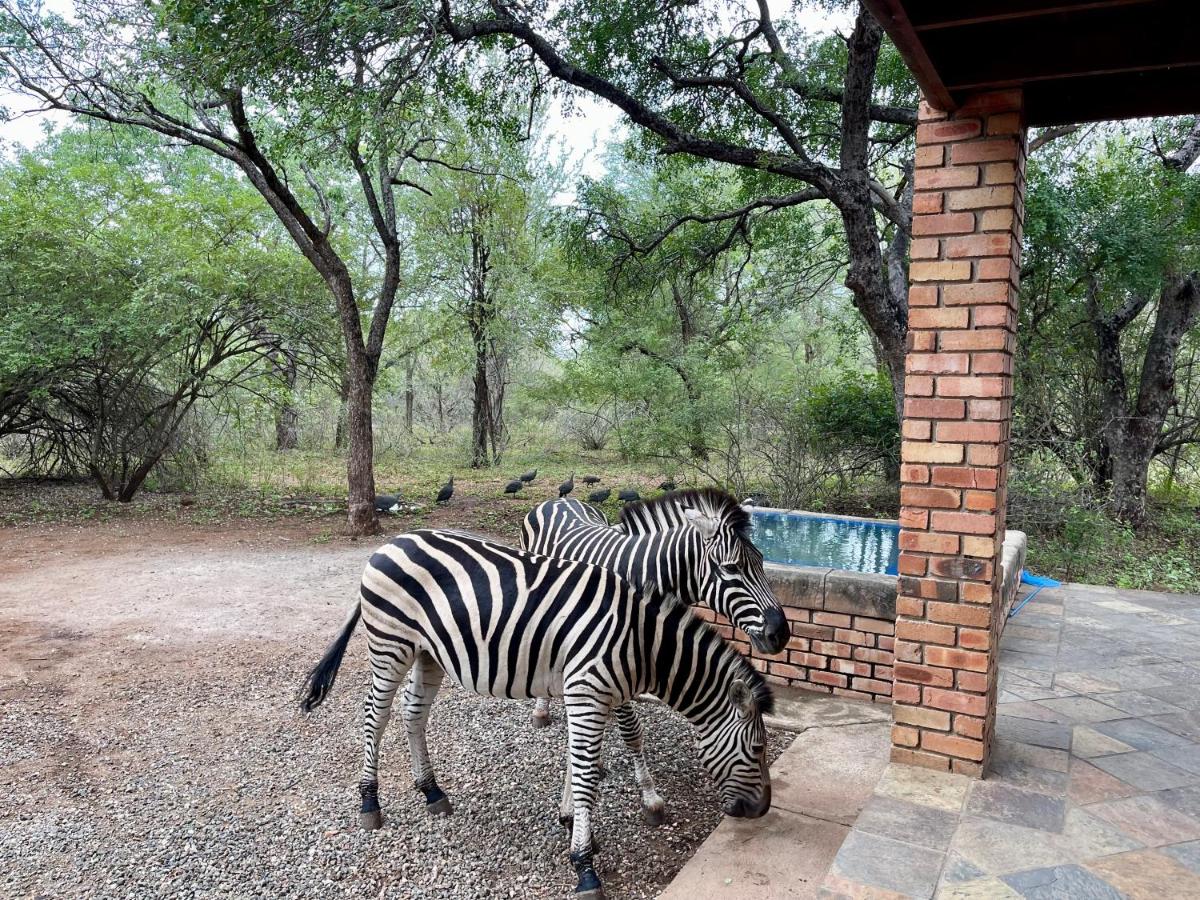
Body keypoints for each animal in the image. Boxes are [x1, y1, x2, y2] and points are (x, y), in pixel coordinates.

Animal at [295, 528, 772, 900]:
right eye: (756, 749)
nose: (762, 810)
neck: (641, 642)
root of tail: (390, 543)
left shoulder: (589, 694)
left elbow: (578, 762)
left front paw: (572, 822)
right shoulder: (588, 691)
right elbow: (587, 772)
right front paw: (584, 865)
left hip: (428, 652)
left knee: (413, 714)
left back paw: (432, 791)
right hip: (389, 644)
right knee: (375, 716)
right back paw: (370, 801)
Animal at [518, 489, 782, 830]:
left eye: (762, 561)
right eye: (732, 568)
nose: (781, 633)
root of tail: (558, 500)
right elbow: (631, 730)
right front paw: (650, 798)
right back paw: (541, 710)